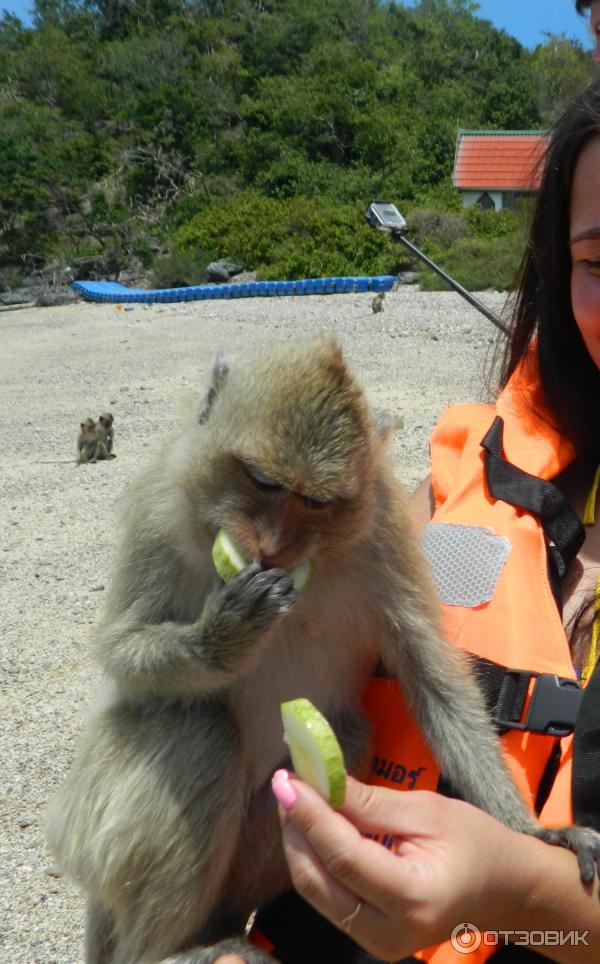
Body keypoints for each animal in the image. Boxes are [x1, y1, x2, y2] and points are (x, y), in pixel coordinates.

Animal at [48, 338, 600, 964]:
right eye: (263, 482)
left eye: (313, 502)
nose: (271, 546)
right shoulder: (158, 508)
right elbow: (120, 649)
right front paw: (225, 636)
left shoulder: (382, 530)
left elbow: (432, 678)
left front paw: (531, 833)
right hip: (87, 824)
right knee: (198, 731)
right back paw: (169, 950)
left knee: (343, 735)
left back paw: (221, 928)